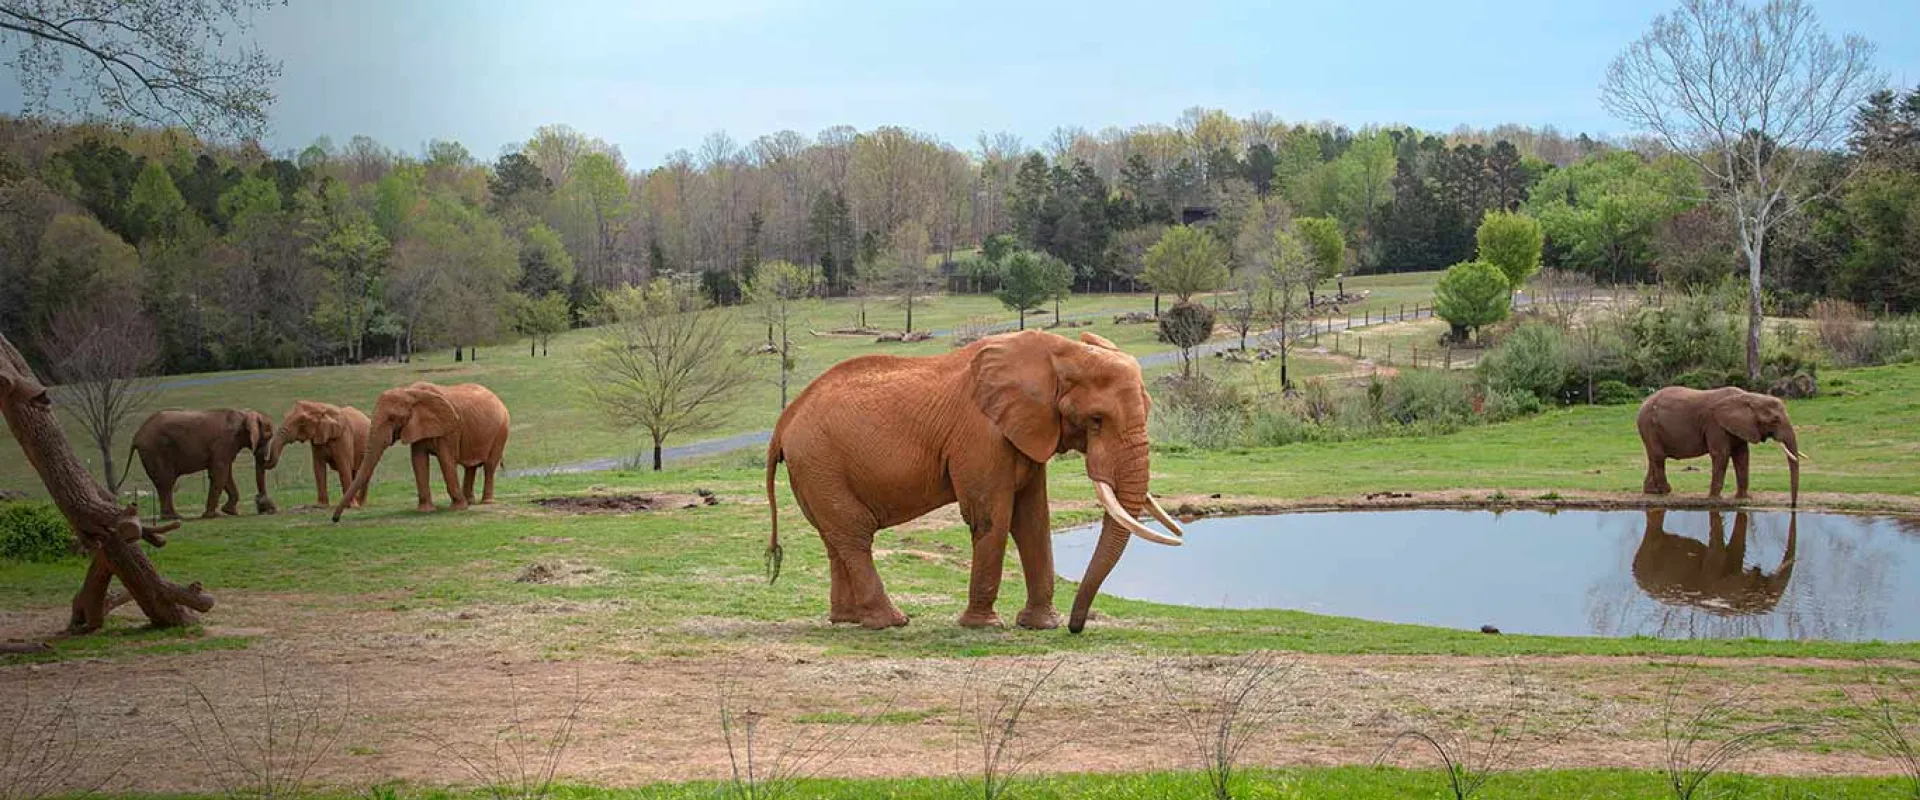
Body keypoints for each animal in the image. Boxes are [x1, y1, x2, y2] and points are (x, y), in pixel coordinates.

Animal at [131, 408, 278, 520]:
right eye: (269, 436)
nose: (265, 507)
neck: (243, 414)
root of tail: (136, 436)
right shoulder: (224, 441)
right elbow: (220, 472)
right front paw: (213, 515)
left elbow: (225, 474)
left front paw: (230, 512)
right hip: (155, 451)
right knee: (166, 481)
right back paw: (173, 517)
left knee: (165, 483)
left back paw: (173, 517)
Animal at [332, 382, 509, 522]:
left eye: (392, 418)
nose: (335, 519)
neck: (410, 392)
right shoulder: (416, 427)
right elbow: (418, 461)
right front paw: (426, 510)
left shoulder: (449, 429)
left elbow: (446, 459)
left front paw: (458, 508)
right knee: (470, 466)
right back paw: (471, 501)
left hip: (501, 429)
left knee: (489, 465)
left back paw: (486, 502)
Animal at [763, 330, 1186, 633]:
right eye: (1097, 420)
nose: (1075, 627)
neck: (1058, 352)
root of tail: (784, 420)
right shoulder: (982, 436)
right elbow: (991, 517)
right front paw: (985, 626)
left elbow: (1033, 519)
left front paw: (1039, 626)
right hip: (819, 460)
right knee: (853, 535)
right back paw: (891, 622)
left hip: (816, 468)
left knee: (834, 537)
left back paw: (848, 620)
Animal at [1637, 386, 1807, 507]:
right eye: (1775, 420)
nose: (1793, 505)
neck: (1748, 397)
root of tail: (1644, 402)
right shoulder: (1715, 424)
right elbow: (1721, 453)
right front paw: (1714, 499)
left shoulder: (1741, 427)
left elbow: (1742, 456)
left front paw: (1744, 498)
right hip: (1649, 425)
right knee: (1658, 456)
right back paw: (1665, 491)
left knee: (1653, 456)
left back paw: (1652, 492)